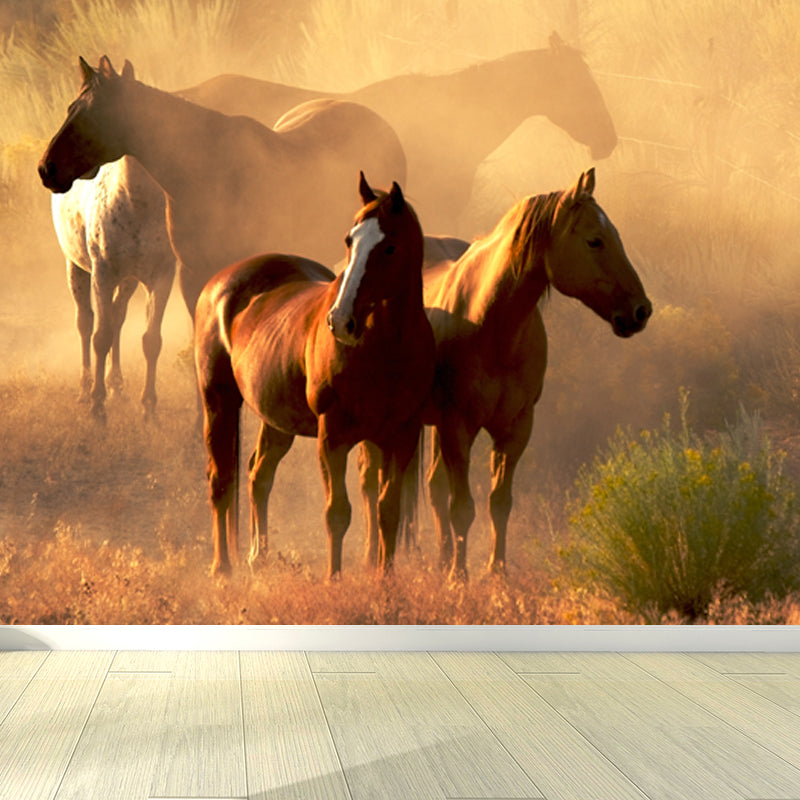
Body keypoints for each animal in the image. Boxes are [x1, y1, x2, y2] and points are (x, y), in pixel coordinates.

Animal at [38, 56, 407, 352]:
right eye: (71, 109)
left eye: (93, 115)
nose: (46, 168)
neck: (205, 171)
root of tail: (382, 124)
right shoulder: (191, 278)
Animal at [50, 154, 174, 419]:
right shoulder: (102, 274)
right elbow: (101, 336)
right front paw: (97, 405)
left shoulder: (161, 276)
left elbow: (151, 340)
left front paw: (149, 407)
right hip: (76, 268)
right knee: (85, 322)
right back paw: (85, 389)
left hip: (128, 281)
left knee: (117, 317)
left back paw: (116, 384)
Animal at [193, 173, 434, 577]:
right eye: (349, 240)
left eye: (389, 247)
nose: (341, 320)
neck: (385, 348)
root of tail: (219, 284)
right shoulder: (332, 436)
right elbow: (337, 512)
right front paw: (333, 580)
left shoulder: (399, 435)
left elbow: (388, 510)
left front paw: (384, 579)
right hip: (218, 402)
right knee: (220, 480)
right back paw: (222, 568)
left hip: (276, 420)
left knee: (259, 474)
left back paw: (258, 555)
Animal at [359, 168, 651, 580]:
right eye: (595, 240)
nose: (641, 310)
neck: (491, 322)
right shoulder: (459, 426)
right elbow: (462, 507)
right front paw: (459, 578)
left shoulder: (515, 428)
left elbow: (499, 502)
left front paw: (495, 573)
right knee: (371, 486)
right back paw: (374, 558)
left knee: (432, 488)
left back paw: (442, 559)